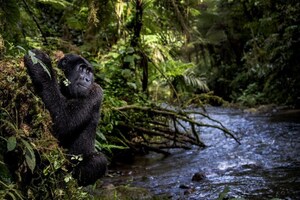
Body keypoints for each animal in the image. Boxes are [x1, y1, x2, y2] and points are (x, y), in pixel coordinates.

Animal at [23, 48, 108, 186]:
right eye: (82, 69)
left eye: (89, 72)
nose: (87, 79)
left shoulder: (96, 91)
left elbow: (63, 121)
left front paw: (42, 65)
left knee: (99, 160)